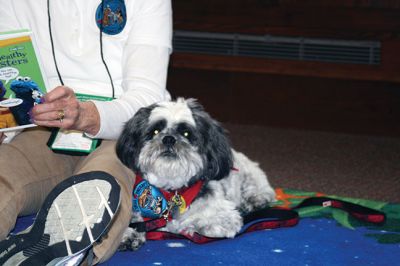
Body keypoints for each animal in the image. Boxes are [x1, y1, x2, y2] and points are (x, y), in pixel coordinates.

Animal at [116, 98, 276, 251]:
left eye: (186, 133)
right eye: (155, 131)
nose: (169, 138)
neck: (172, 193)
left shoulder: (223, 217)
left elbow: (200, 221)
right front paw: (129, 234)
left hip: (251, 174)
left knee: (261, 189)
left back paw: (254, 200)